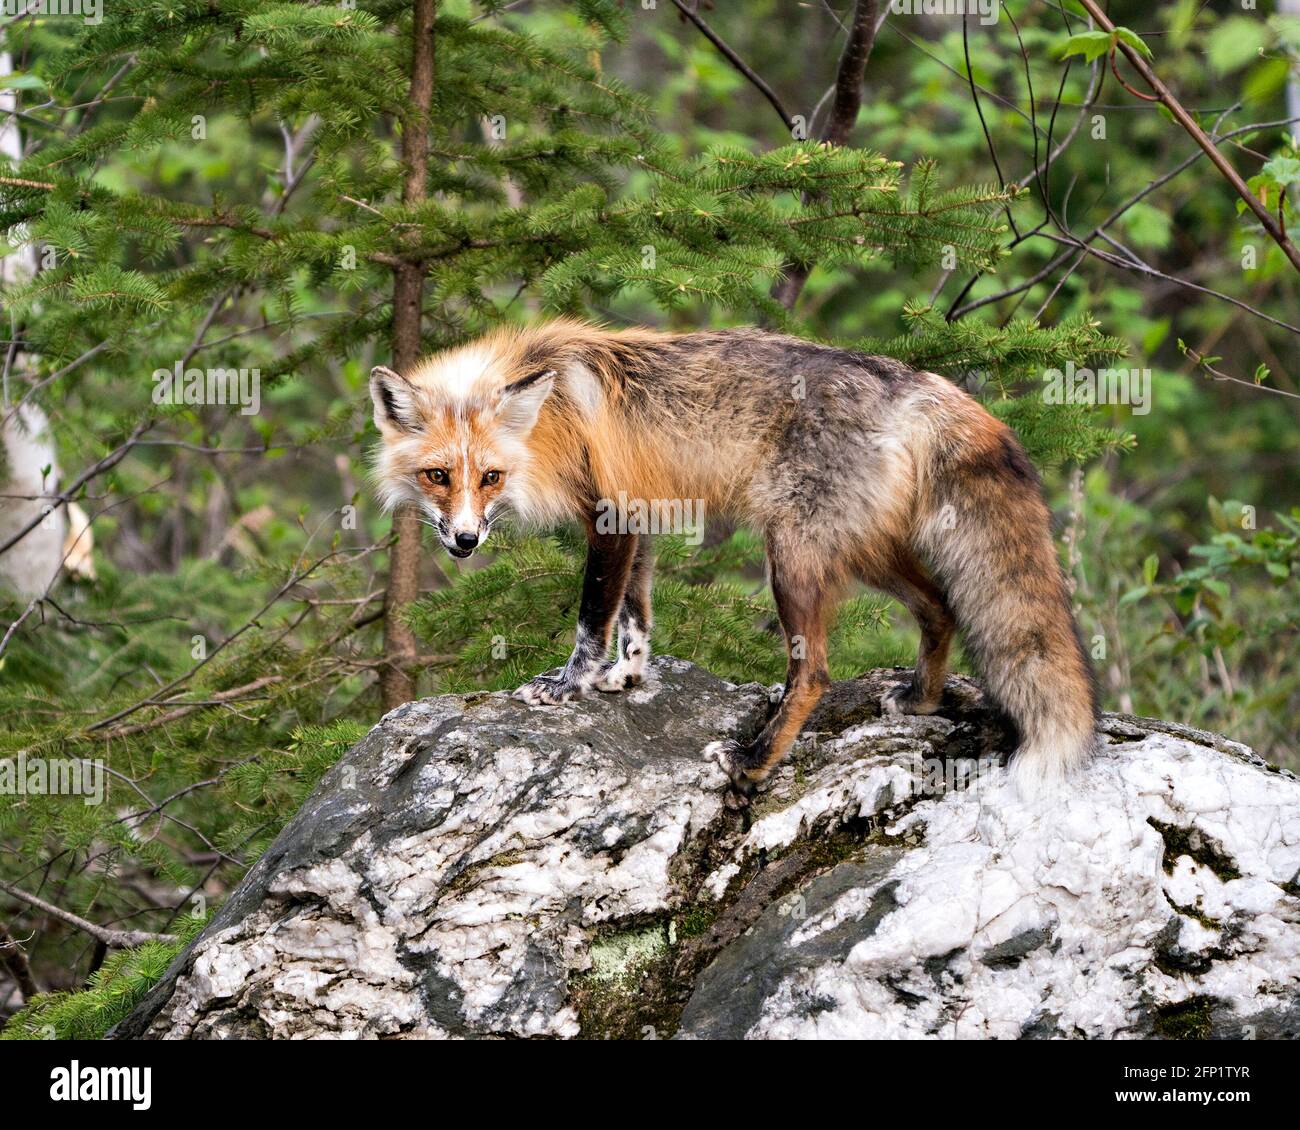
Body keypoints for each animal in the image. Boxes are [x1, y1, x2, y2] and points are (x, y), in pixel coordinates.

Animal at [369, 318, 1098, 803]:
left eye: (490, 478)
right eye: (438, 476)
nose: (465, 541)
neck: (550, 417)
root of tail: (915, 380)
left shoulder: (610, 515)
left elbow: (593, 619)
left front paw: (568, 685)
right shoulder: (640, 513)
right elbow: (636, 617)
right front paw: (626, 679)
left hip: (792, 557)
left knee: (816, 675)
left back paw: (753, 761)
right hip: (863, 552)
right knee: (940, 607)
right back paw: (920, 699)